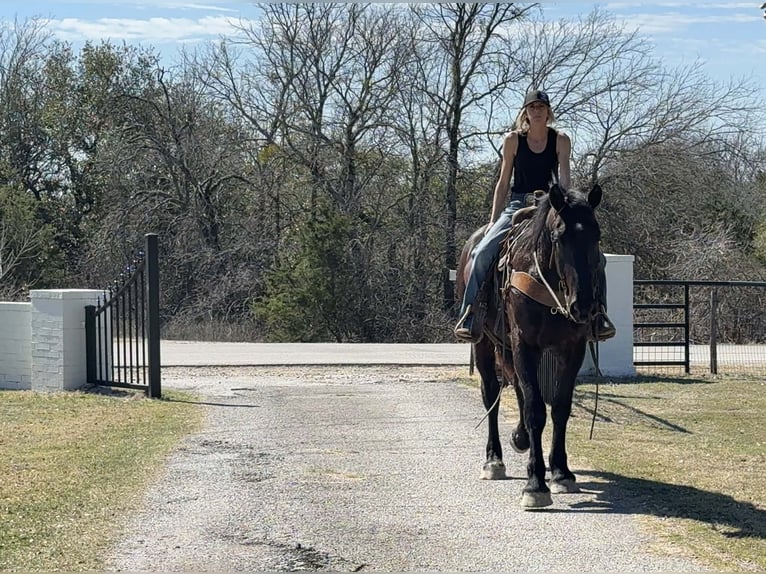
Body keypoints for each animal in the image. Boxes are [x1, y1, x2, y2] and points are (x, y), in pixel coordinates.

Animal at [456, 183, 603, 509]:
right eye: (560, 237)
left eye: (597, 236)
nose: (584, 305)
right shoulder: (524, 342)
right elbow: (536, 409)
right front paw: (535, 485)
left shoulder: (572, 348)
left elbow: (559, 406)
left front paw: (561, 472)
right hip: (485, 343)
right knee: (491, 392)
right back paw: (494, 460)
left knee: (519, 387)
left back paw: (521, 439)